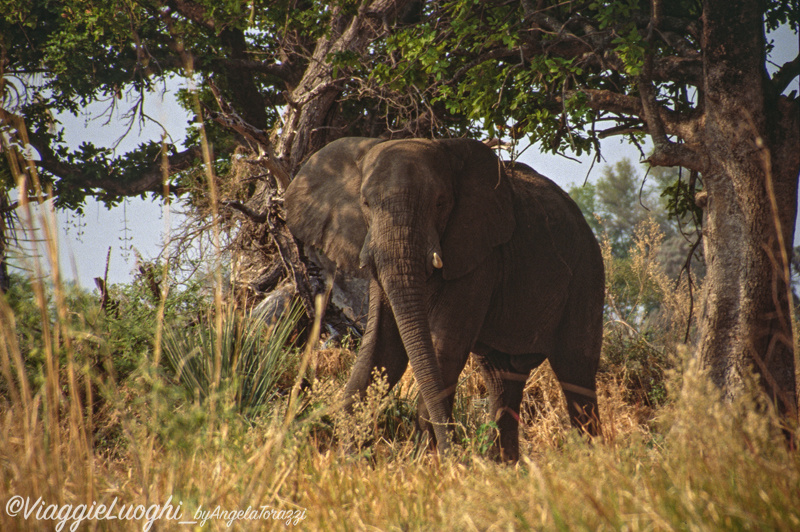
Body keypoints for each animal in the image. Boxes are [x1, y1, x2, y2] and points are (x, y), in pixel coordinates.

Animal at [284, 137, 604, 462]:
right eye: (366, 204)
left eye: (440, 203)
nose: (456, 451)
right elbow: (383, 349)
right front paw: (353, 460)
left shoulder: (479, 255)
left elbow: (445, 347)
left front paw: (429, 463)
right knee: (502, 376)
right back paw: (505, 466)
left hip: (587, 272)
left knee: (575, 370)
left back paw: (590, 460)